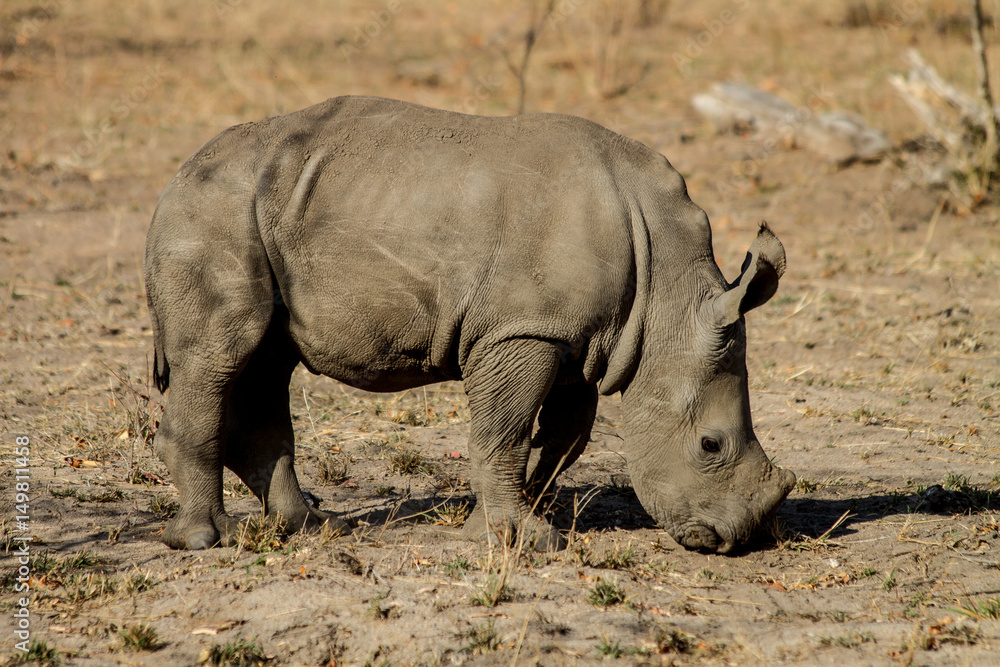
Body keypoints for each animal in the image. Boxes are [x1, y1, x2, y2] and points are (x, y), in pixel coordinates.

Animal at [144, 95, 795, 554]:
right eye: (710, 445)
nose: (741, 539)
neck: (669, 301)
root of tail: (176, 176)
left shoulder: (580, 338)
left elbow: (560, 440)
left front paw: (519, 517)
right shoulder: (524, 329)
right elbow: (505, 430)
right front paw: (525, 540)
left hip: (261, 212)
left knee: (266, 362)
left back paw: (310, 526)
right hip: (213, 212)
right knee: (220, 356)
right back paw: (209, 540)